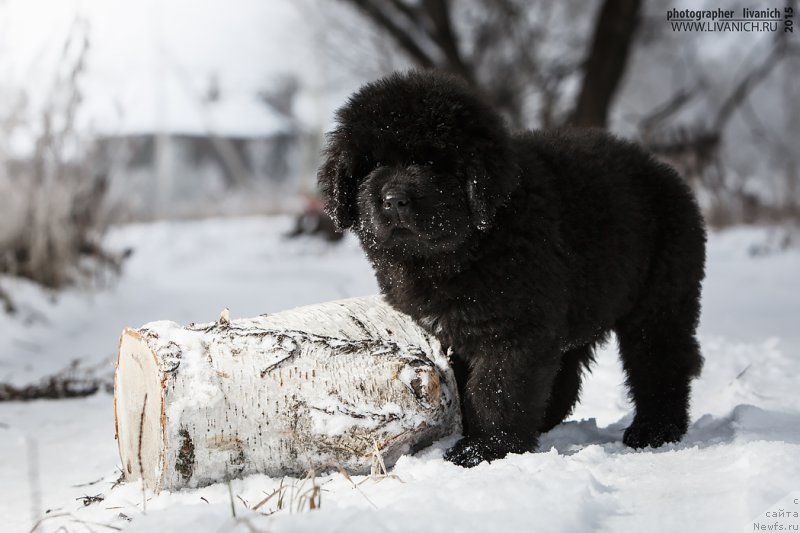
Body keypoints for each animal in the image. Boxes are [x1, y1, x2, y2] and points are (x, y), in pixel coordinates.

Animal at [316, 69, 704, 466]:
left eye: (432, 162)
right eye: (373, 163)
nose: (394, 200)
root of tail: (662, 170)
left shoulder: (515, 328)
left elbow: (496, 389)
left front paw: (483, 449)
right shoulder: (454, 333)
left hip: (660, 296)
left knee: (659, 359)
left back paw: (655, 430)